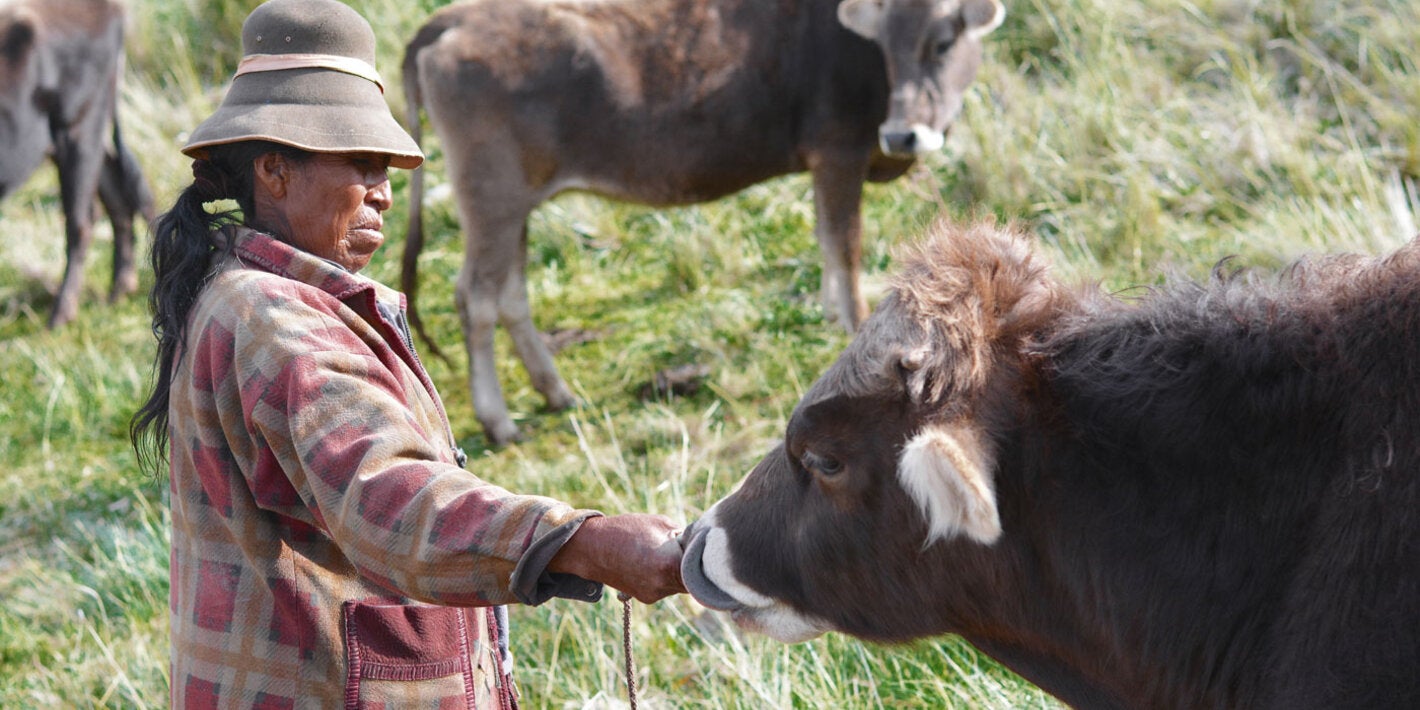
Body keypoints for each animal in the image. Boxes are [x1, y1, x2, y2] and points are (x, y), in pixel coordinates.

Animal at [0, 0, 154, 329]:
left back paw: (61, 314)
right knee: (118, 201)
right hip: (84, 135)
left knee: (81, 222)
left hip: (78, 128)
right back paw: (120, 288)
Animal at [401, 0, 1006, 446]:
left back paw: (555, 391)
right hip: (491, 196)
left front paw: (835, 314)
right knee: (477, 298)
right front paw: (856, 325)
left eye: (942, 43)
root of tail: (454, 17)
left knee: (512, 295)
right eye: (885, 44)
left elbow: (825, 242)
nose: (902, 134)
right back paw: (498, 420)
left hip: (516, 204)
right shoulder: (839, 150)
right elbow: (845, 244)